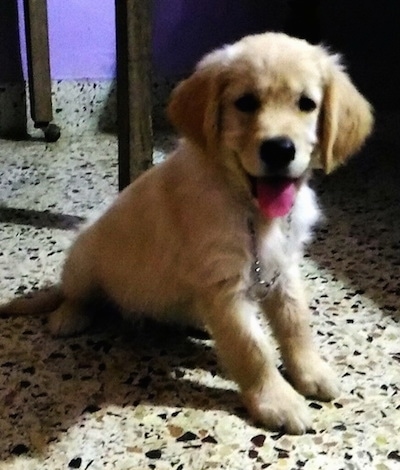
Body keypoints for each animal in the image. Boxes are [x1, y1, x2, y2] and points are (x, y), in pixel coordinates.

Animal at [1, 33, 374, 436]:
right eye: (246, 102)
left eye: (307, 104)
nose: (279, 149)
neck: (249, 208)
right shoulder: (222, 284)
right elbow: (252, 349)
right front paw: (278, 401)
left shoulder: (283, 268)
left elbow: (296, 323)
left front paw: (311, 372)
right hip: (83, 258)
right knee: (76, 294)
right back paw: (69, 316)